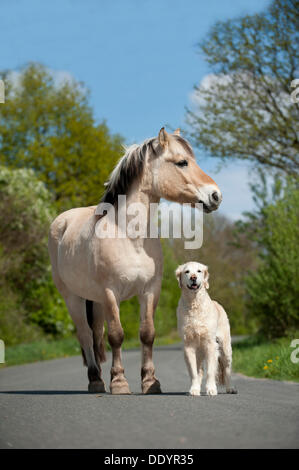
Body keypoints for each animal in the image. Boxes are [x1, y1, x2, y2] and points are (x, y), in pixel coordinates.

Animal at [176, 262, 237, 394]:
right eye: (187, 271)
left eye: (199, 271)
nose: (193, 278)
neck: (194, 303)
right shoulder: (189, 346)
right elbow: (194, 372)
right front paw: (194, 389)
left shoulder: (210, 345)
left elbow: (210, 371)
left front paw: (211, 389)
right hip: (199, 351)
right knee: (199, 370)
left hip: (225, 348)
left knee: (227, 369)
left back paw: (230, 388)